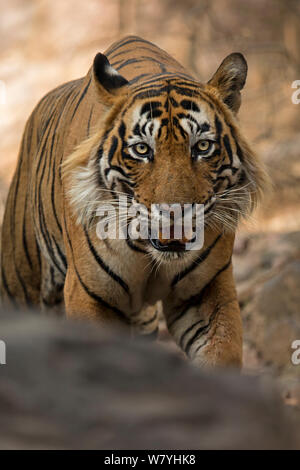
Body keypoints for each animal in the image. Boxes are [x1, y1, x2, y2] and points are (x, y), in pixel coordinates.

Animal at [0, 35, 268, 368]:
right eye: (142, 149)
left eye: (203, 147)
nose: (175, 213)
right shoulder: (90, 297)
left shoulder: (205, 291)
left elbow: (222, 352)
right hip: (21, 283)